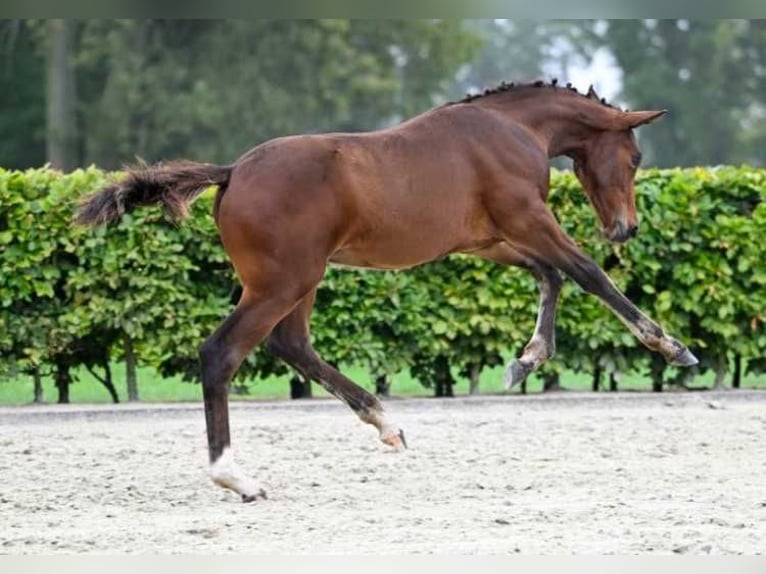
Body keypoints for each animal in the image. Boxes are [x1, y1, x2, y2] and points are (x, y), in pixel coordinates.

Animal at [75, 81, 700, 504]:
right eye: (636, 157)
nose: (626, 229)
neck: (510, 128)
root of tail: (232, 173)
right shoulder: (527, 219)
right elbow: (588, 273)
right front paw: (673, 348)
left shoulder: (484, 240)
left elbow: (549, 274)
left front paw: (526, 360)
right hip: (283, 282)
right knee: (222, 353)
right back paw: (237, 478)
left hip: (302, 280)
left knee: (292, 345)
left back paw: (386, 423)